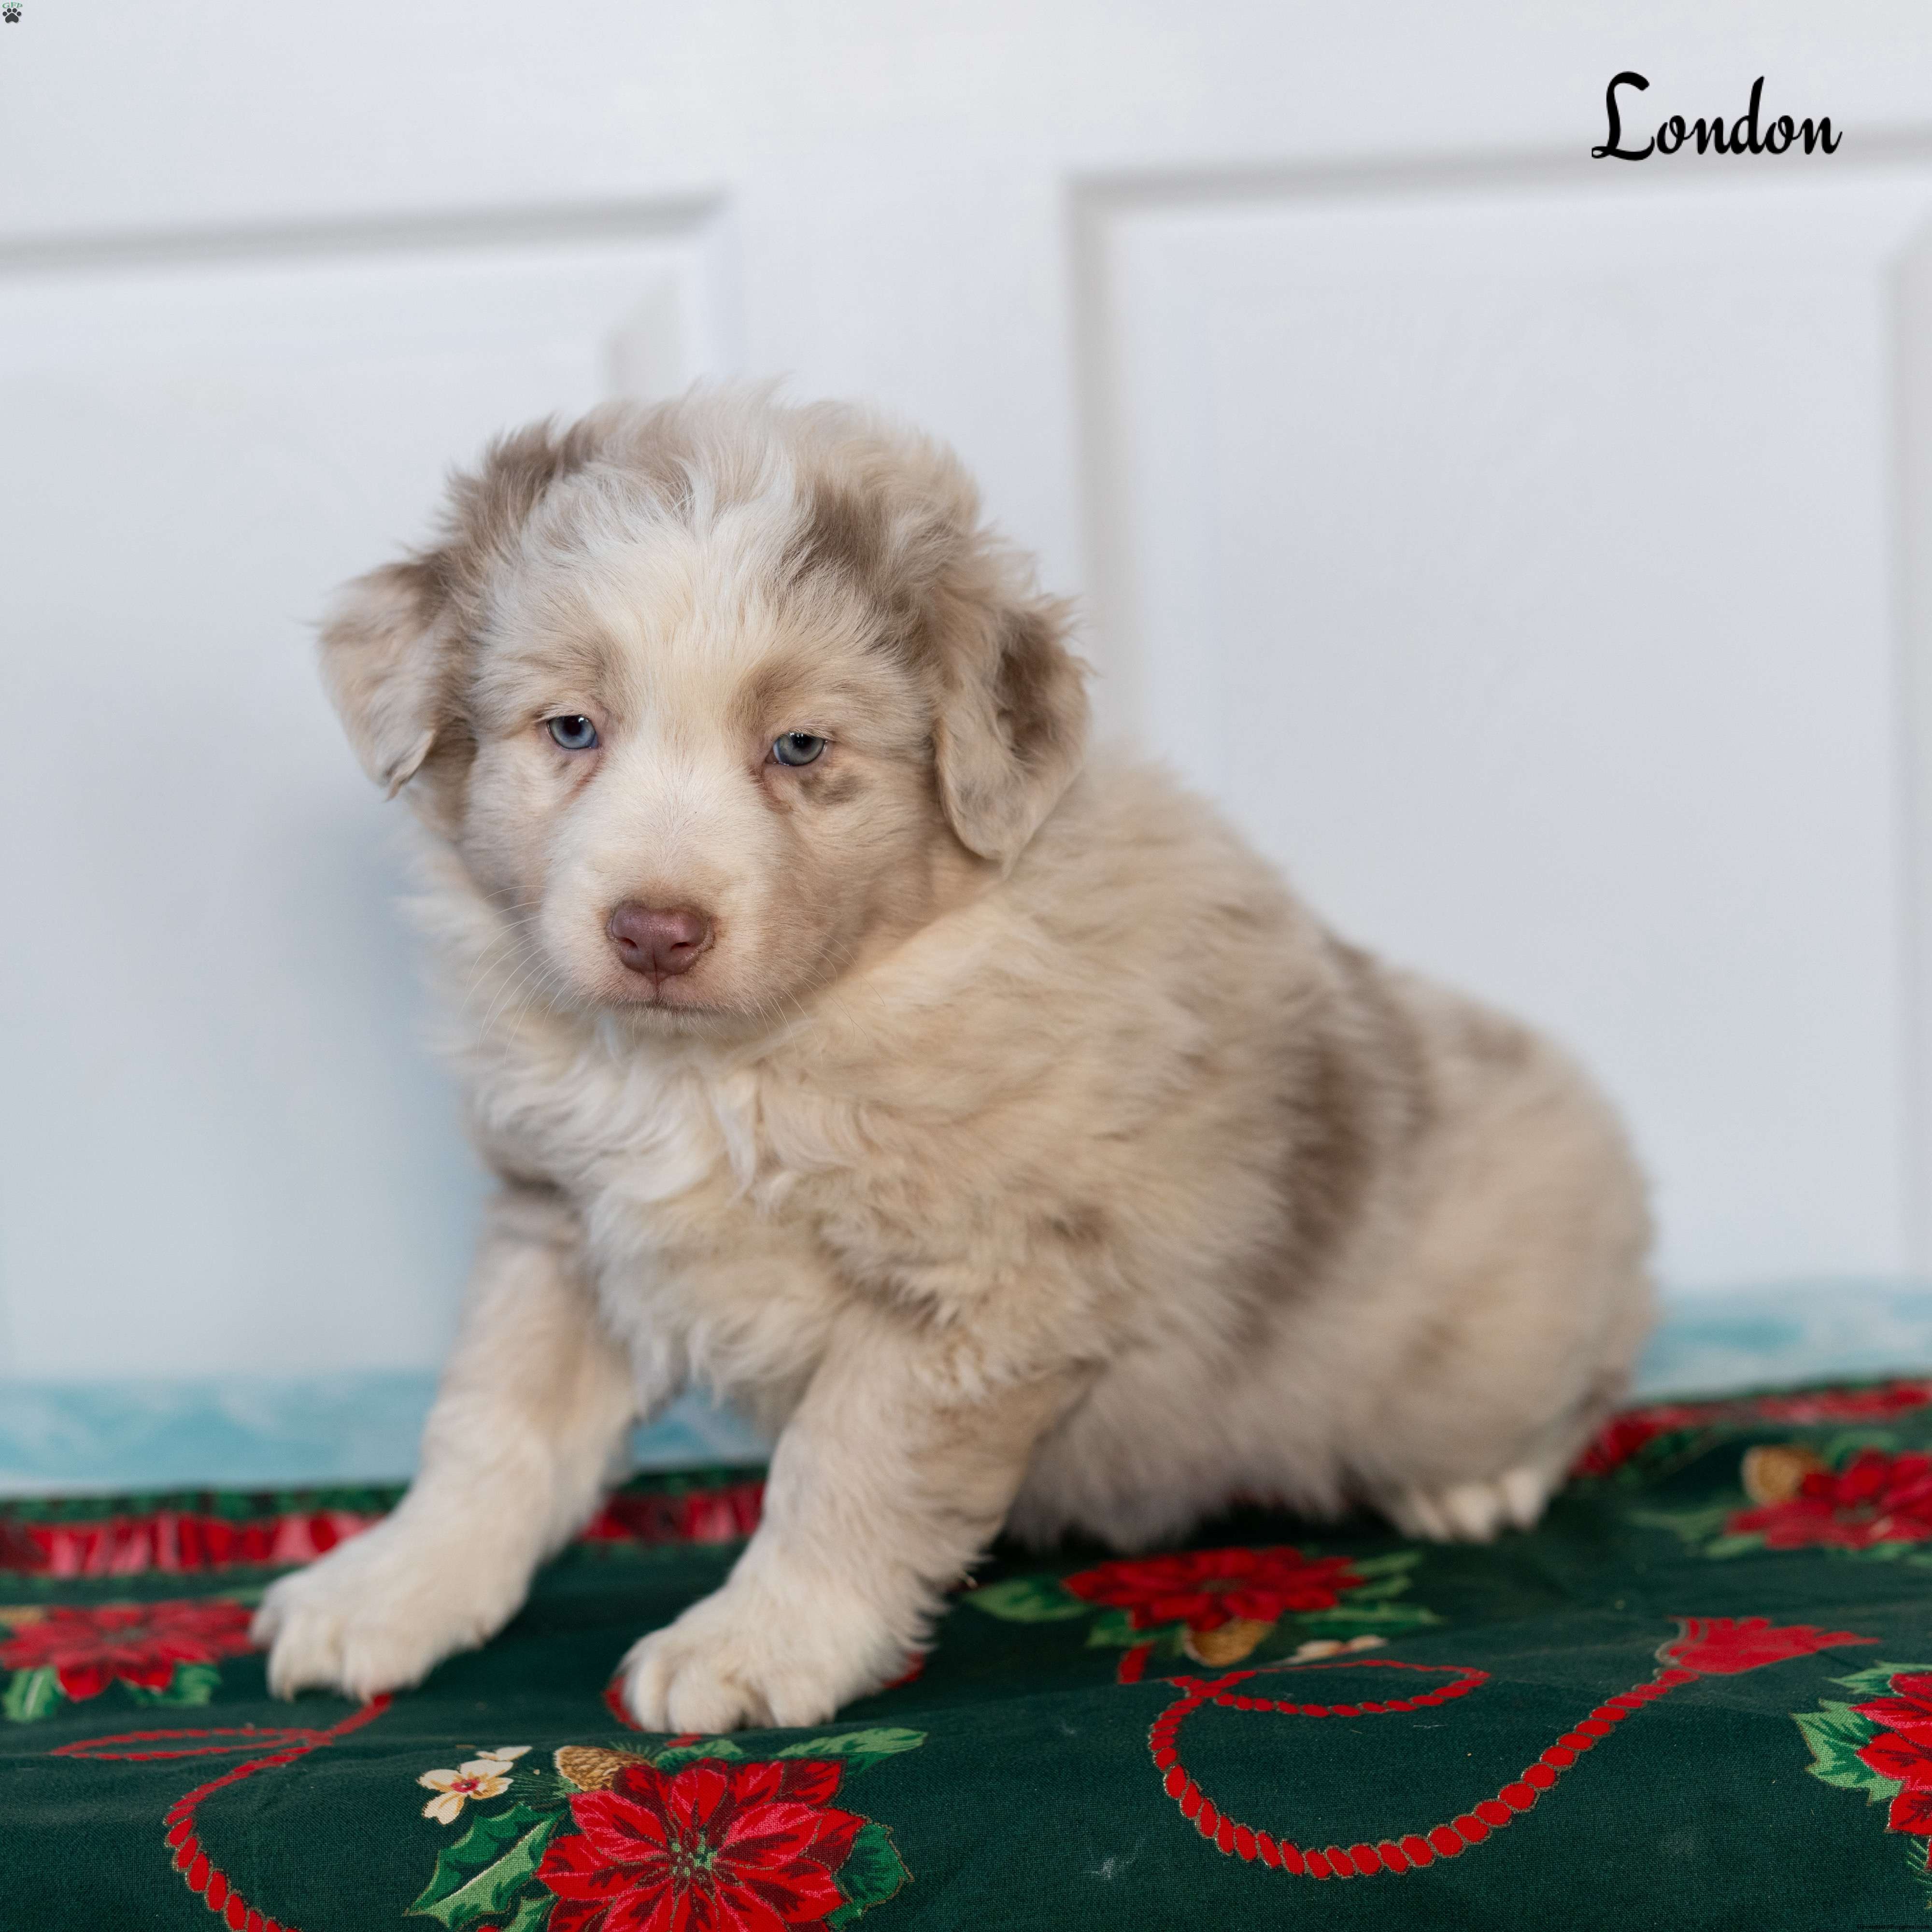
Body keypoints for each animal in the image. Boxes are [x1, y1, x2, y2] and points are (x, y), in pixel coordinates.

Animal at [254, 387, 1654, 1731]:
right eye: (570, 728)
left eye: (800, 748)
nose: (654, 931)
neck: (718, 1069)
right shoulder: (559, 1226)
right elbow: (488, 1430)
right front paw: (387, 1590)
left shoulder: (982, 1291)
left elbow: (842, 1470)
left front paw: (751, 1645)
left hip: (1504, 1314)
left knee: (1590, 1378)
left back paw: (1479, 1482)